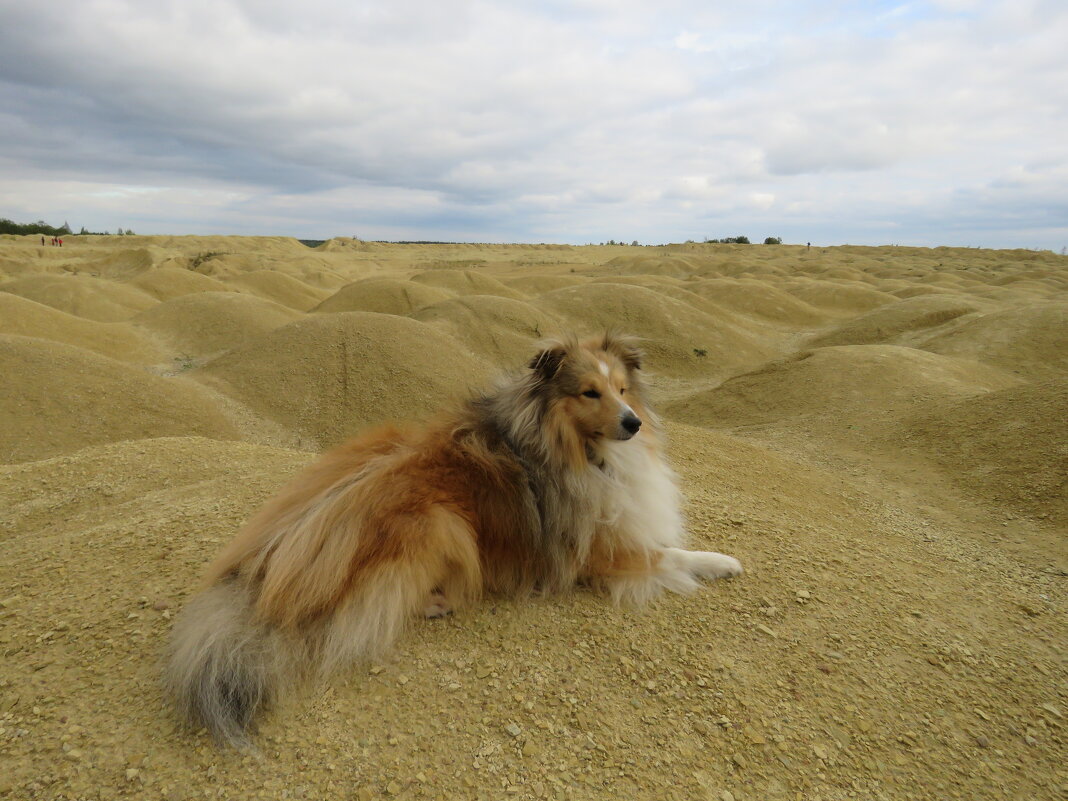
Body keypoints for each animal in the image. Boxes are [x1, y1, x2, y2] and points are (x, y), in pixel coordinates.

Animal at [164, 333, 743, 747]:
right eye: (589, 393)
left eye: (623, 389)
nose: (634, 423)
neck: (569, 447)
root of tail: (262, 569)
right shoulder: (601, 553)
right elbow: (669, 554)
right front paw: (722, 561)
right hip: (438, 522)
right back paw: (436, 602)